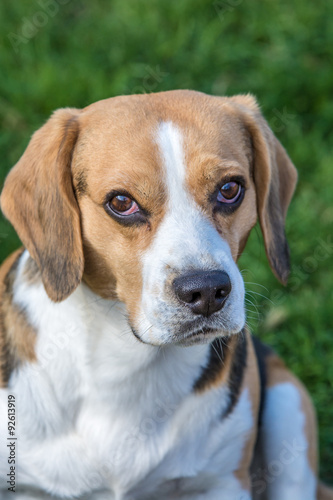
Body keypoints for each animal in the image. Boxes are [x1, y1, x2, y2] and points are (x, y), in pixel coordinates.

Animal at [0, 91, 330, 500]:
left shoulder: (222, 483)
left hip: (289, 405)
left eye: (230, 189)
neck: (126, 361)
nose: (207, 290)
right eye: (121, 202)